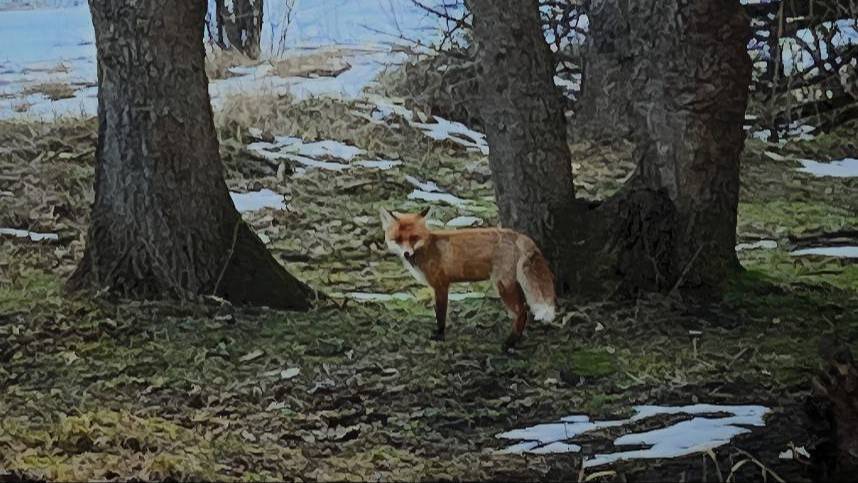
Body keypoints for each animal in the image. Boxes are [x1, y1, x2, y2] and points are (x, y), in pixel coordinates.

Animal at [380, 206, 556, 350]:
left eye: (414, 238)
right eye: (398, 239)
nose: (406, 253)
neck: (427, 248)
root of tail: (517, 234)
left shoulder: (441, 285)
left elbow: (440, 315)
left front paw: (440, 336)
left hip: (503, 285)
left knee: (523, 311)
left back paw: (509, 343)